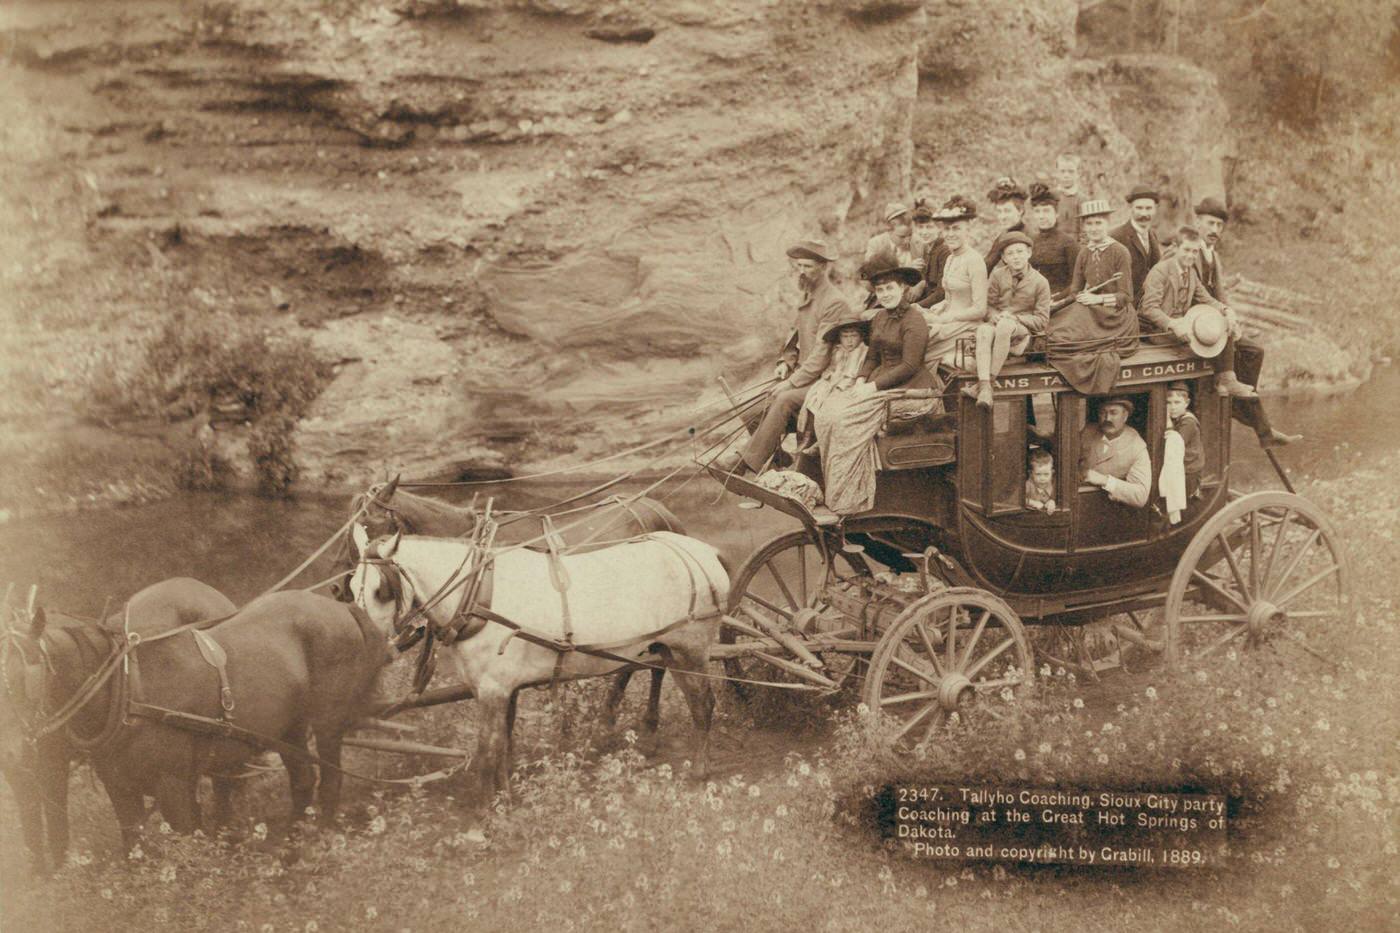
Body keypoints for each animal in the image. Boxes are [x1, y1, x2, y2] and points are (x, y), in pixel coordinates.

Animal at [1, 574, 236, 874]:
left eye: (27, 676)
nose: (8, 751)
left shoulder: (51, 762)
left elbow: (55, 822)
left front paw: (58, 874)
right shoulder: (20, 771)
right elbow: (31, 823)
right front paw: (37, 875)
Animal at [5, 588, 392, 851]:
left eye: (24, 675)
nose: (12, 755)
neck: (127, 692)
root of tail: (342, 607)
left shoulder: (173, 784)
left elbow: (184, 841)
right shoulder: (120, 787)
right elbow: (135, 847)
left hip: (327, 723)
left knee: (330, 780)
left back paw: (320, 838)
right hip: (288, 729)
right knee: (302, 780)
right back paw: (290, 842)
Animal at [347, 523, 733, 801]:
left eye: (381, 590)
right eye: (350, 587)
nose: (367, 649)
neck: (479, 595)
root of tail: (704, 551)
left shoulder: (493, 689)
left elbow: (486, 752)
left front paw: (484, 819)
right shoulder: (500, 689)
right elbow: (504, 744)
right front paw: (505, 798)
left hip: (691, 649)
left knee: (703, 705)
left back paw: (699, 774)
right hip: (666, 648)